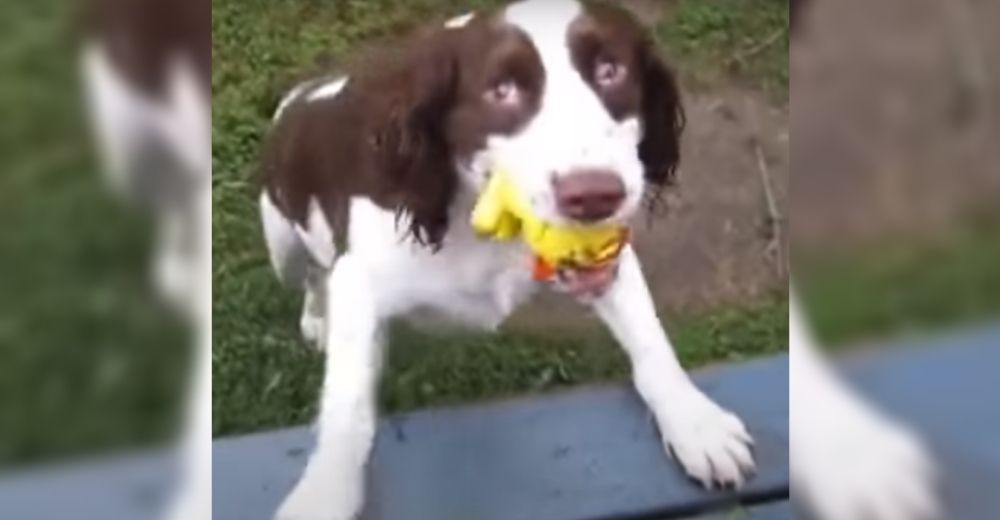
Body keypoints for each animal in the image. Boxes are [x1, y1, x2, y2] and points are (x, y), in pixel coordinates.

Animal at [262, 2, 752, 516]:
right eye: (501, 90)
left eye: (610, 70)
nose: (594, 196)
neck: (486, 222)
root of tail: (302, 94)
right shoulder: (360, 282)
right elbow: (348, 407)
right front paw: (324, 493)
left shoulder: (605, 259)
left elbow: (651, 339)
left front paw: (696, 422)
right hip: (282, 243)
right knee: (311, 276)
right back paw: (317, 318)